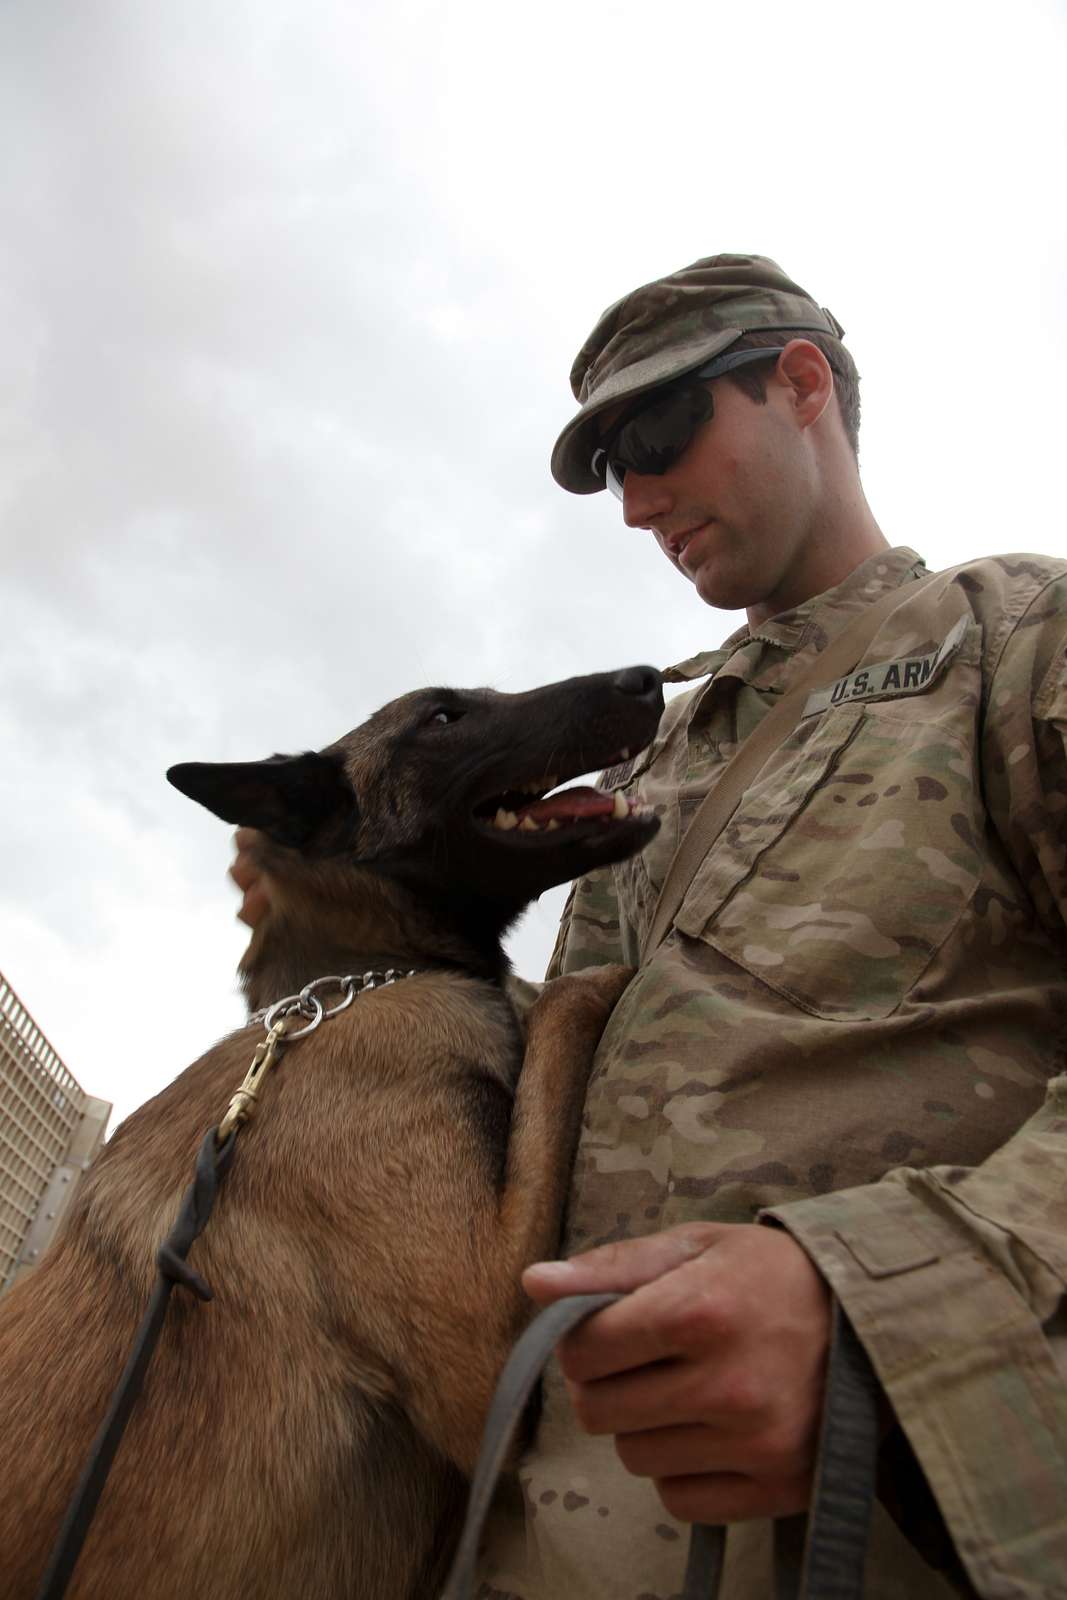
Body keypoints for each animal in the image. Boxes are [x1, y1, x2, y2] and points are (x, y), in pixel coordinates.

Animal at [0, 665, 662, 1600]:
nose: (646, 679)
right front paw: (607, 976)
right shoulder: (486, 1345)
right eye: (443, 717)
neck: (362, 977)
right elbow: (568, 996)